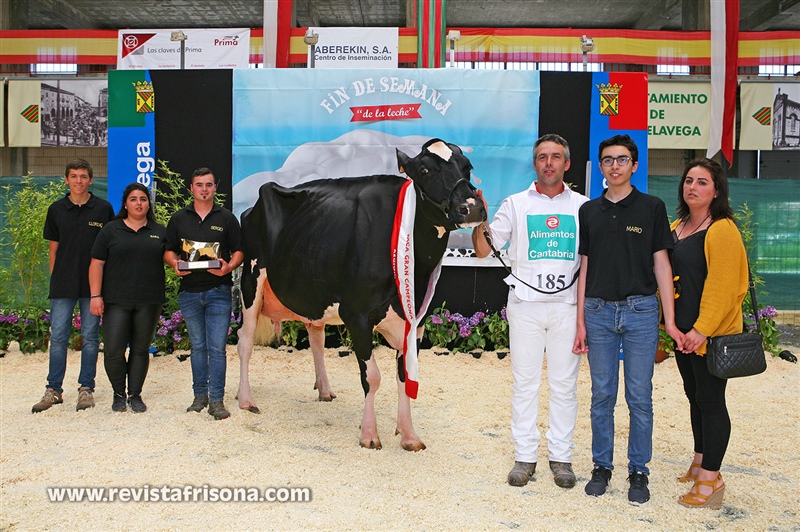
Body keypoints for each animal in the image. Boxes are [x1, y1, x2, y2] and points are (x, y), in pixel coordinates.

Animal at [236, 139, 488, 450]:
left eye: (468, 167)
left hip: (313, 289)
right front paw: (369, 434)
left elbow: (404, 376)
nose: (472, 207)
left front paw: (409, 435)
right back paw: (246, 399)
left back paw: (325, 390)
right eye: (425, 169)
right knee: (245, 341)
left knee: (316, 338)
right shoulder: (356, 315)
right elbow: (372, 377)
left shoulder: (415, 321)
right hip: (251, 280)